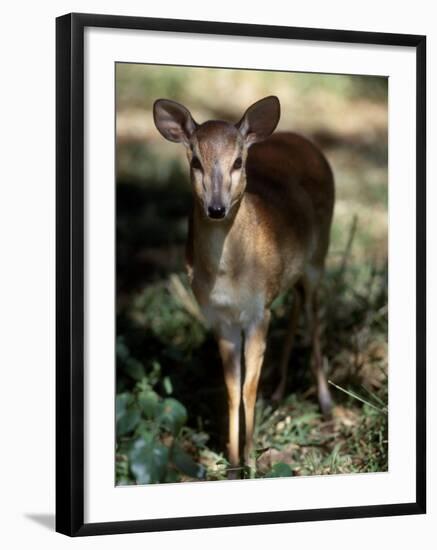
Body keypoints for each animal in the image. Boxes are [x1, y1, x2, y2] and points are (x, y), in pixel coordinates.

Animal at [153, 97, 334, 476]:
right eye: (195, 160)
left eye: (238, 162)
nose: (216, 208)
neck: (230, 273)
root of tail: (305, 141)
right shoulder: (220, 318)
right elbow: (232, 388)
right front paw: (233, 462)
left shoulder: (256, 312)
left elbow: (249, 388)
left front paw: (251, 458)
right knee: (297, 303)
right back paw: (279, 393)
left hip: (319, 257)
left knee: (313, 315)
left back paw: (326, 404)